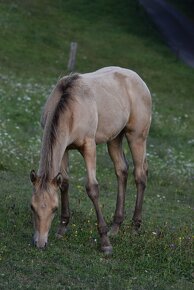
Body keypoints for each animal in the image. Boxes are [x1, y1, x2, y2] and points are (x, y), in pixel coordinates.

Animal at [29, 66, 152, 254]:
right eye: (32, 207)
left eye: (54, 208)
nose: (40, 243)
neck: (71, 106)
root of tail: (137, 78)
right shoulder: (65, 148)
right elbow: (64, 183)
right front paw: (62, 228)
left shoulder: (89, 146)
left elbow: (92, 188)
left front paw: (105, 242)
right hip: (114, 138)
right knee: (121, 171)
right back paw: (115, 226)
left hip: (136, 137)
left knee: (140, 175)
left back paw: (134, 227)